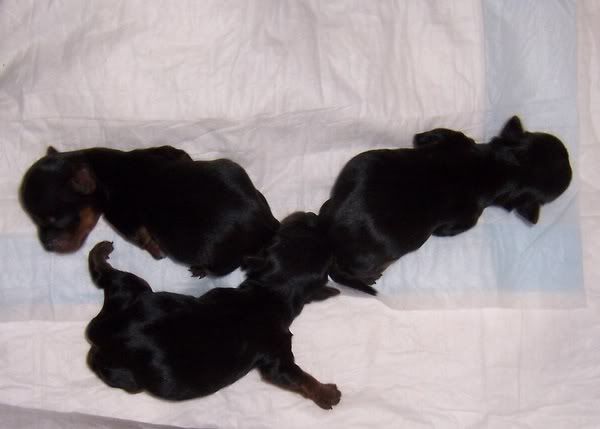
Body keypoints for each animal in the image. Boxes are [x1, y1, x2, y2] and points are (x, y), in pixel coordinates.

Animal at [20, 145, 279, 277]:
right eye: (33, 219)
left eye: (55, 221)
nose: (46, 245)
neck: (100, 169)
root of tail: (265, 224)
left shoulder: (122, 218)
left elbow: (140, 236)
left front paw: (156, 251)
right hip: (236, 173)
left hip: (213, 254)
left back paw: (200, 269)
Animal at [85, 212, 341, 409]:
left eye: (285, 233)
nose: (312, 214)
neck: (271, 292)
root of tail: (103, 332)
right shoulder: (277, 356)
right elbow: (297, 377)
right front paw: (327, 393)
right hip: (125, 377)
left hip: (131, 288)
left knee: (107, 276)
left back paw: (99, 253)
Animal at [319, 116, 573, 295]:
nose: (570, 160)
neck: (500, 166)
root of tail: (331, 238)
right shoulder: (464, 221)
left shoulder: (449, 136)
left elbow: (427, 135)